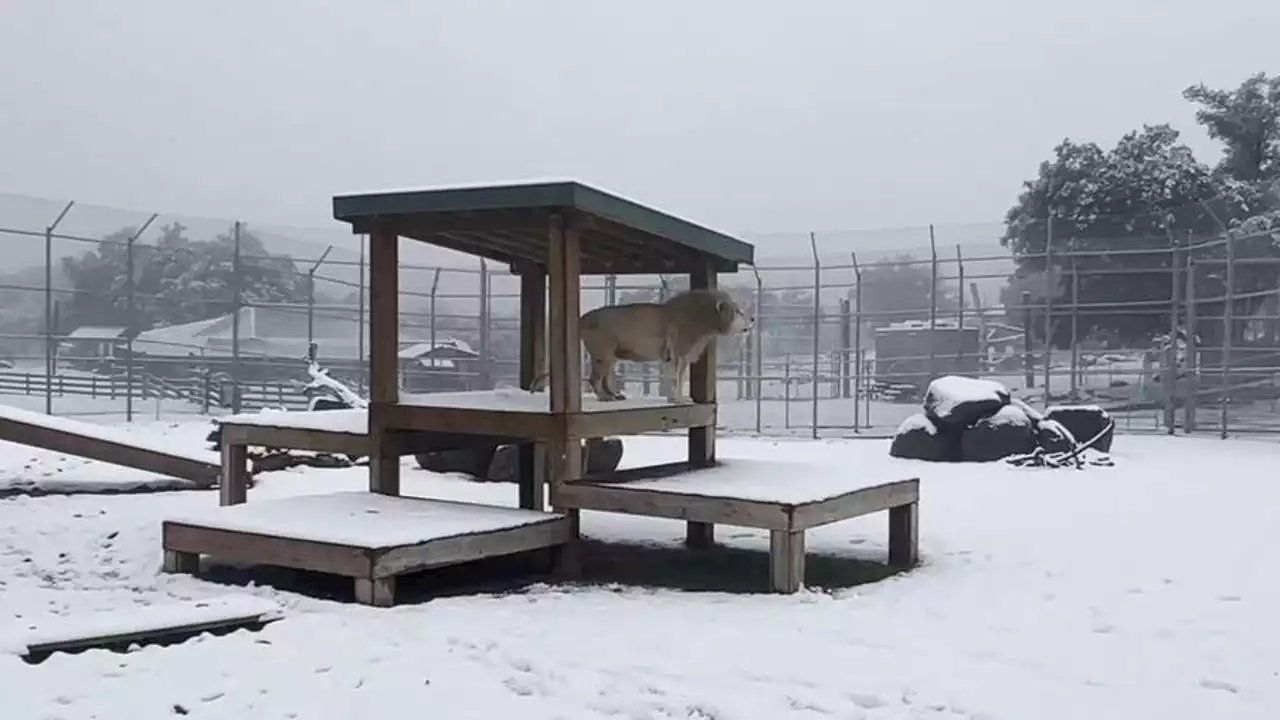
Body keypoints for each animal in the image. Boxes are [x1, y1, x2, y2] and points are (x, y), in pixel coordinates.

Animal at [527, 289, 747, 404]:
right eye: (738, 311)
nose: (752, 319)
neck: (704, 321)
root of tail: (582, 317)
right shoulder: (676, 353)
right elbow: (675, 378)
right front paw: (678, 400)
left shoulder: (677, 356)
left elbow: (677, 377)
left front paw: (677, 398)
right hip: (604, 353)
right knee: (594, 379)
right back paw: (605, 398)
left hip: (612, 356)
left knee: (605, 379)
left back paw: (615, 395)